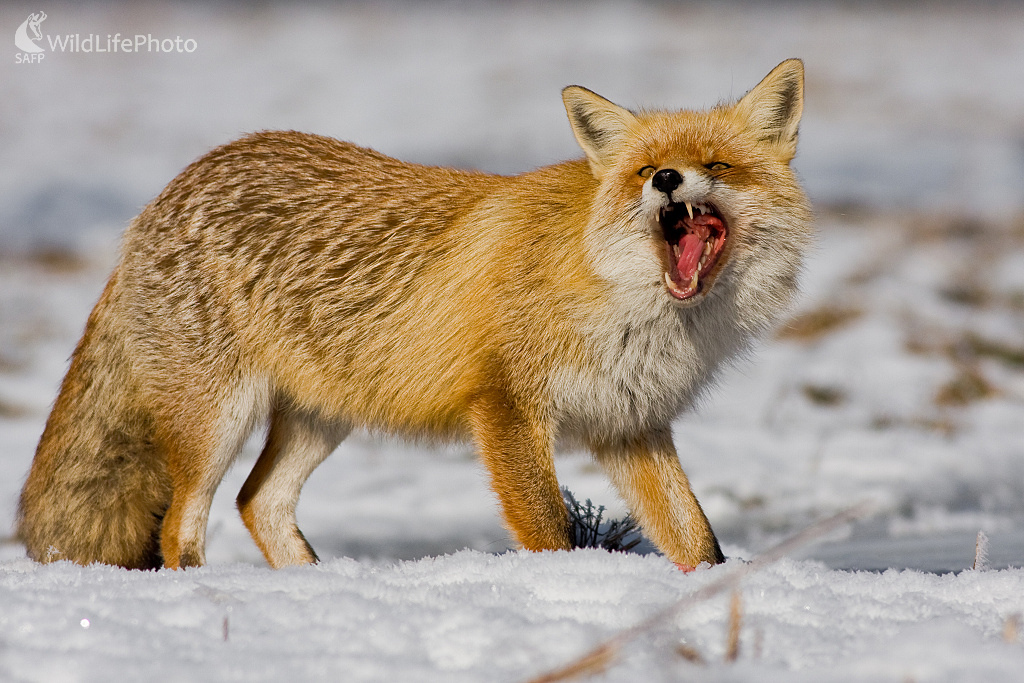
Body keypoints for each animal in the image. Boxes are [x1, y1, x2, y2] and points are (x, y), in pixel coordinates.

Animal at [16, 60, 811, 573]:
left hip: (320, 416)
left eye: (718, 164)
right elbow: (548, 531)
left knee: (258, 503)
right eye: (647, 171)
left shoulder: (630, 424)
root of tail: (163, 196)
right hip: (217, 421)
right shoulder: (507, 406)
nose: (671, 179)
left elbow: (698, 542)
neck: (625, 302)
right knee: (182, 529)